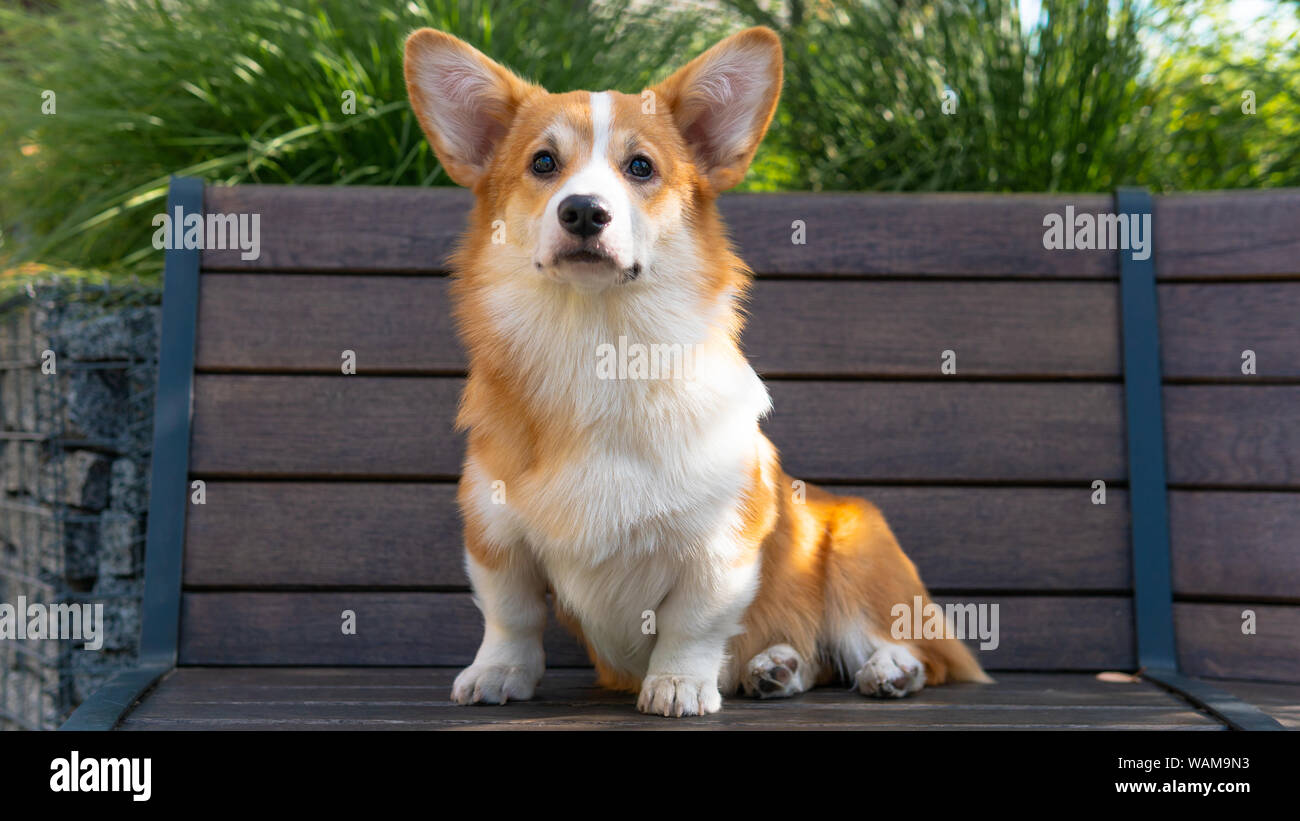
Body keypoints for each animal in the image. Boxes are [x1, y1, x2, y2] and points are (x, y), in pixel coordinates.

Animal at [400, 25, 987, 717]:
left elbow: (693, 622)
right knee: (815, 659)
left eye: (641, 167)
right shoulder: (495, 535)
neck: (600, 344)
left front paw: (677, 684)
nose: (583, 212)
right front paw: (497, 674)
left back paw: (889, 669)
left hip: (857, 548)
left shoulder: (720, 545)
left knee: (909, 648)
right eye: (543, 163)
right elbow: (510, 616)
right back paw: (778, 666)